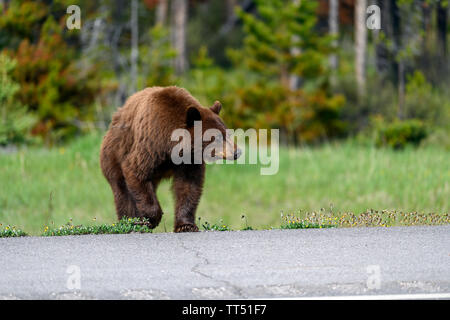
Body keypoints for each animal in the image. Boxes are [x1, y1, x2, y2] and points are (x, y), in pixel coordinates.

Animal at [98, 86, 239, 234]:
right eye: (217, 137)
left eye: (228, 133)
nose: (237, 152)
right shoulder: (150, 145)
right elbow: (135, 171)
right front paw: (152, 219)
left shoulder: (189, 160)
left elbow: (188, 185)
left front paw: (186, 225)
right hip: (113, 155)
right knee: (123, 191)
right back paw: (131, 222)